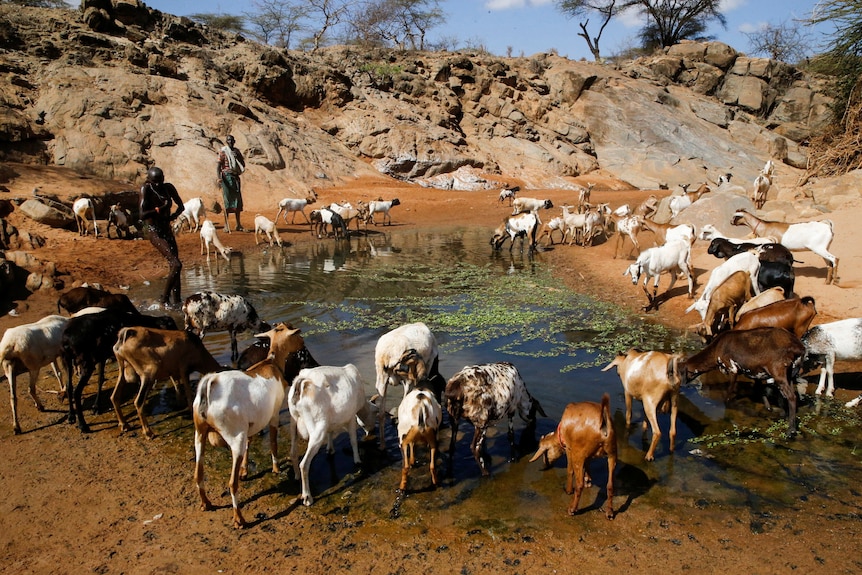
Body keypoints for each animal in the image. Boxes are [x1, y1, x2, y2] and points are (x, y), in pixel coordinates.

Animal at [195, 324, 308, 528]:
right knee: (232, 484)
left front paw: (245, 470)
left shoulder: (252, 423)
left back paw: (206, 504)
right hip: (234, 437)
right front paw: (276, 467)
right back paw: (239, 519)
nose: (303, 343)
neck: (271, 363)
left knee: (198, 475)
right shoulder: (273, 415)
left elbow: (250, 443)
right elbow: (273, 442)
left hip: (199, 435)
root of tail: (210, 384)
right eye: (297, 335)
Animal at [288, 364, 376, 508]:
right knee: (304, 464)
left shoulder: (330, 421)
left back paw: (296, 477)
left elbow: (330, 433)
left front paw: (330, 450)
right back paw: (307, 497)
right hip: (317, 427)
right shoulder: (351, 417)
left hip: (293, 423)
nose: (372, 431)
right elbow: (353, 440)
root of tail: (301, 382)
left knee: (293, 453)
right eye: (374, 415)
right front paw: (357, 460)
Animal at [680, 326, 808, 438]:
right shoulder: (756, 373)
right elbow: (760, 391)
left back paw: (791, 430)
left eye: (681, 372)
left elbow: (729, 391)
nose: (681, 385)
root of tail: (799, 347)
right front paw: (768, 409)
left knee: (791, 396)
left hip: (778, 372)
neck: (717, 349)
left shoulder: (732, 368)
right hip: (790, 373)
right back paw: (786, 417)